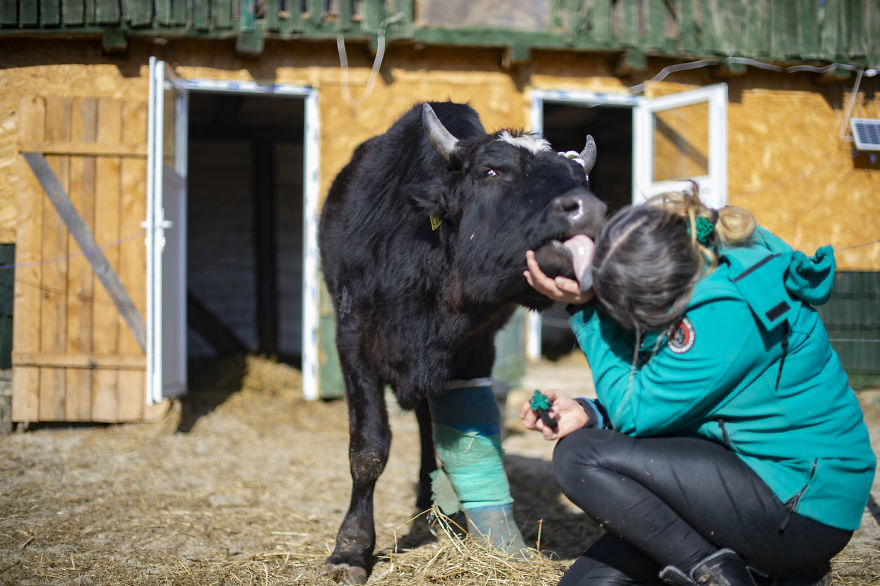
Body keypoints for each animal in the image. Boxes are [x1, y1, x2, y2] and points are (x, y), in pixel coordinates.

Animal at [319, 101, 605, 584]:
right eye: (490, 171)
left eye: (578, 178)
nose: (589, 210)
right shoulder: (353, 339)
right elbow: (368, 447)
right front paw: (350, 548)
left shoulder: (474, 349)